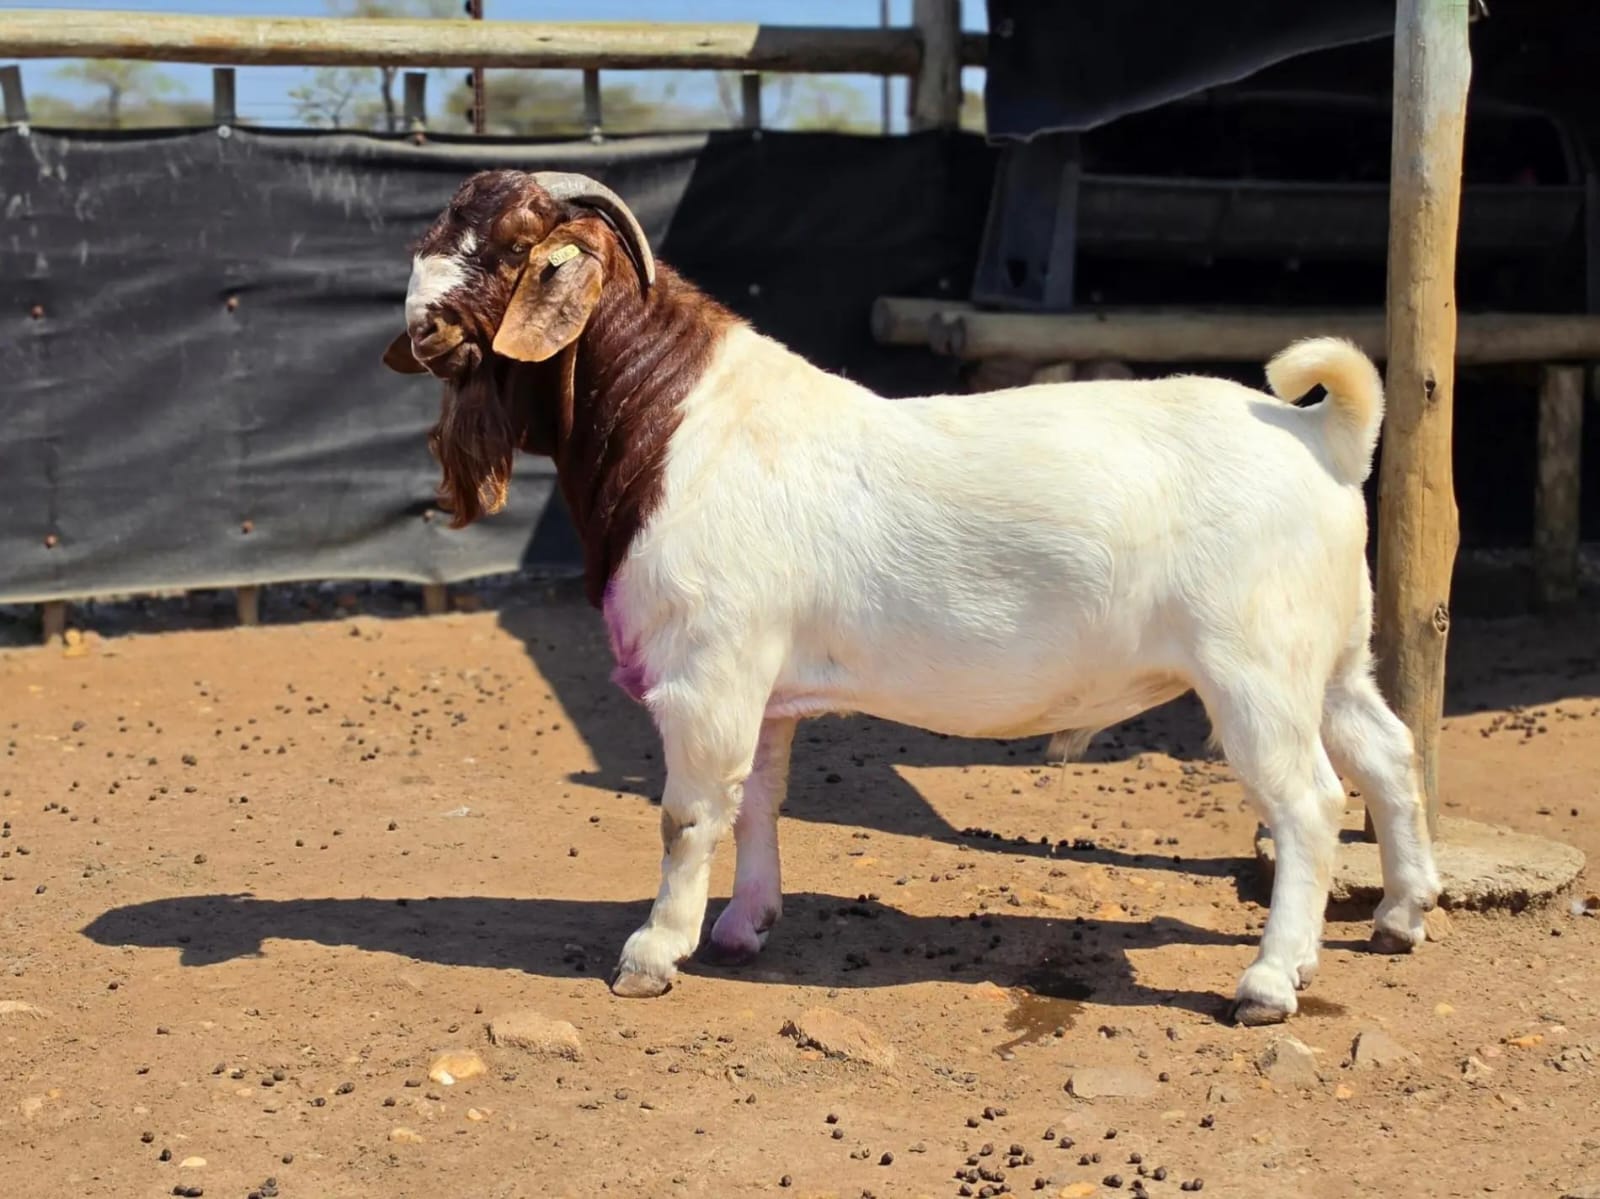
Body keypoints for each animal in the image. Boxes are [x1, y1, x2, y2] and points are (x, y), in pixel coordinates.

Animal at [382, 169, 1442, 1025]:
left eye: (511, 246)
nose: (419, 329)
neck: (681, 426)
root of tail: (1322, 438)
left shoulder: (706, 668)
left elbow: (689, 812)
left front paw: (652, 952)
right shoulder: (765, 687)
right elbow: (759, 800)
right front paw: (743, 924)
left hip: (1254, 668)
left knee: (1308, 800)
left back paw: (1270, 981)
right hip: (1332, 656)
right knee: (1388, 754)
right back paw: (1400, 914)